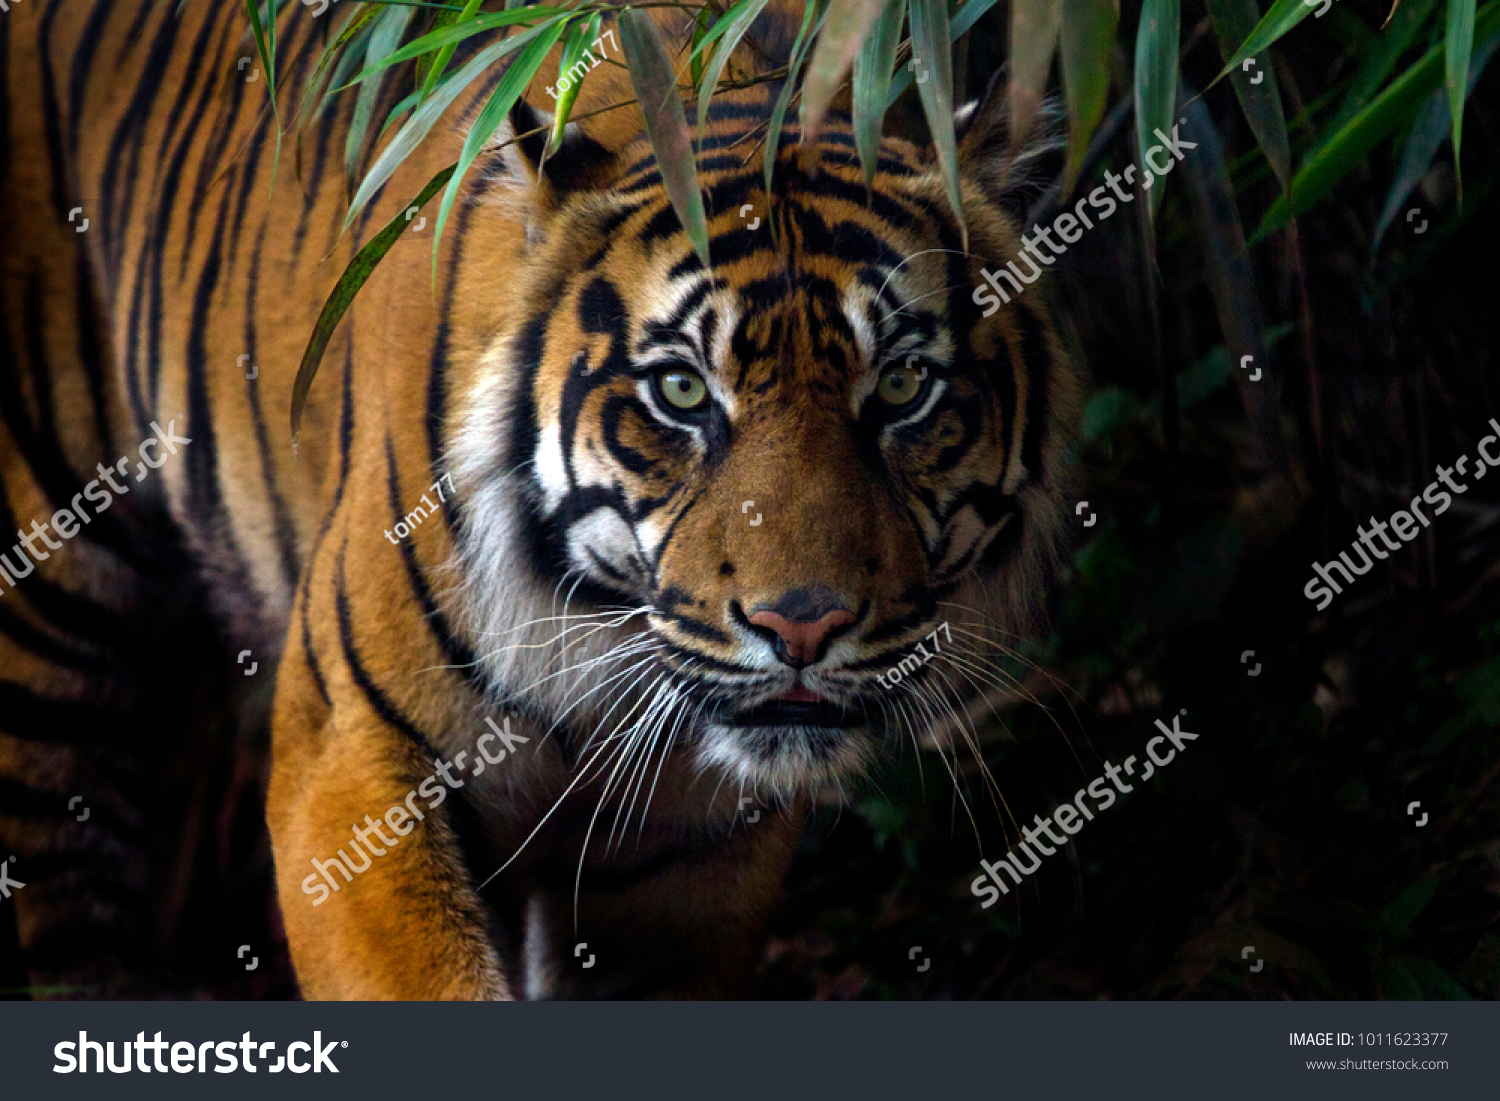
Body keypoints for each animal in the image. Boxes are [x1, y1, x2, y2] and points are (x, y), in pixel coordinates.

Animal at [0, 0, 1083, 998]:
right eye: (681, 390)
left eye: (900, 387)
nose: (802, 627)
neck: (601, 633)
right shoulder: (348, 760)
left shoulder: (682, 858)